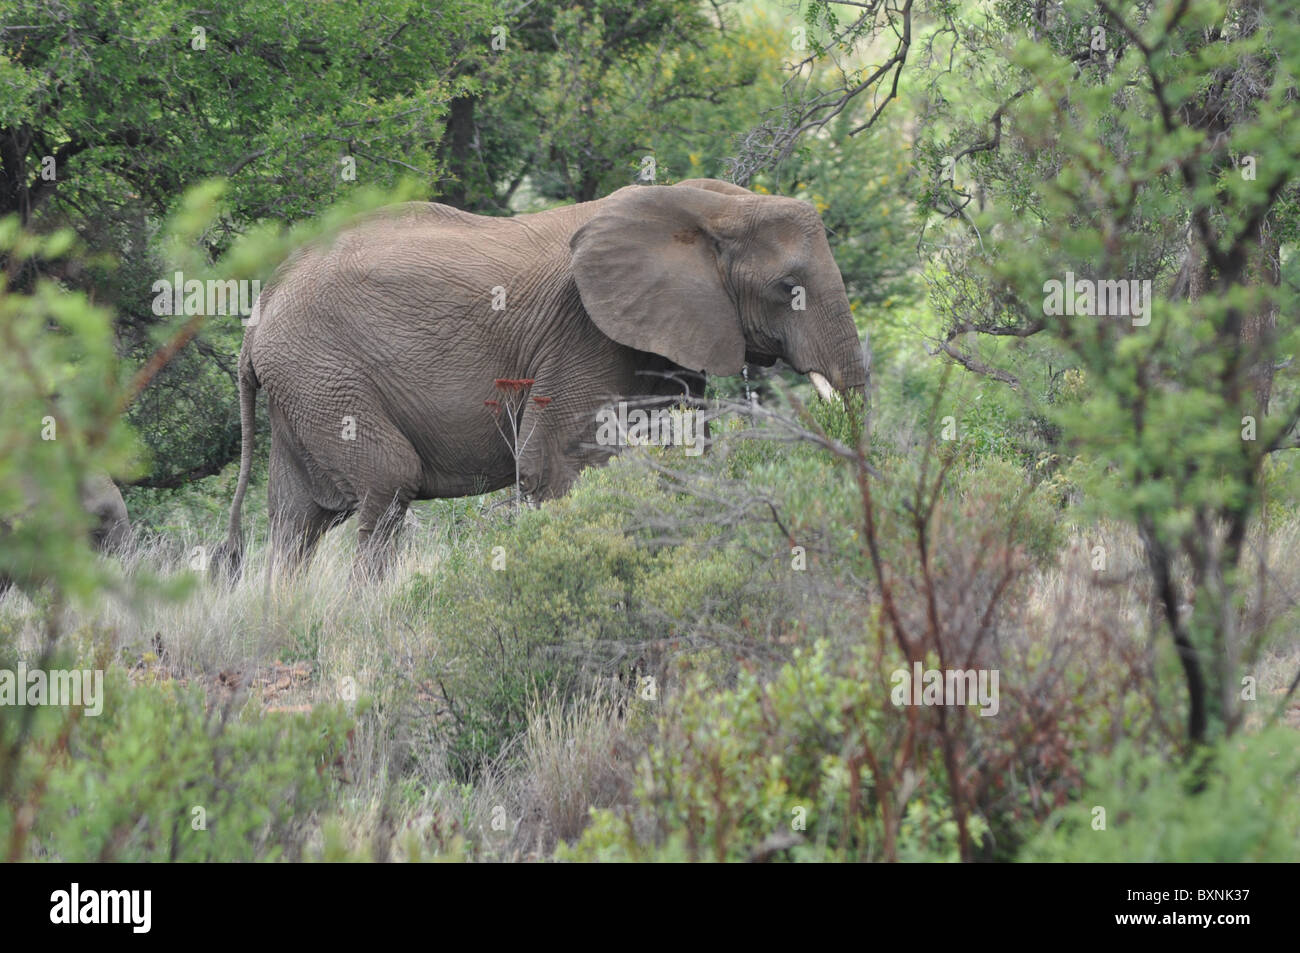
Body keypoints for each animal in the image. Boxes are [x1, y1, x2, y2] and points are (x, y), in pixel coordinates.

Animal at [213, 179, 868, 579]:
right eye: (788, 288)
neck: (709, 205)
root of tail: (258, 311)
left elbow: (675, 453)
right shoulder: (583, 332)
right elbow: (556, 467)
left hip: (302, 385)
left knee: (296, 518)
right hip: (324, 375)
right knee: (387, 484)